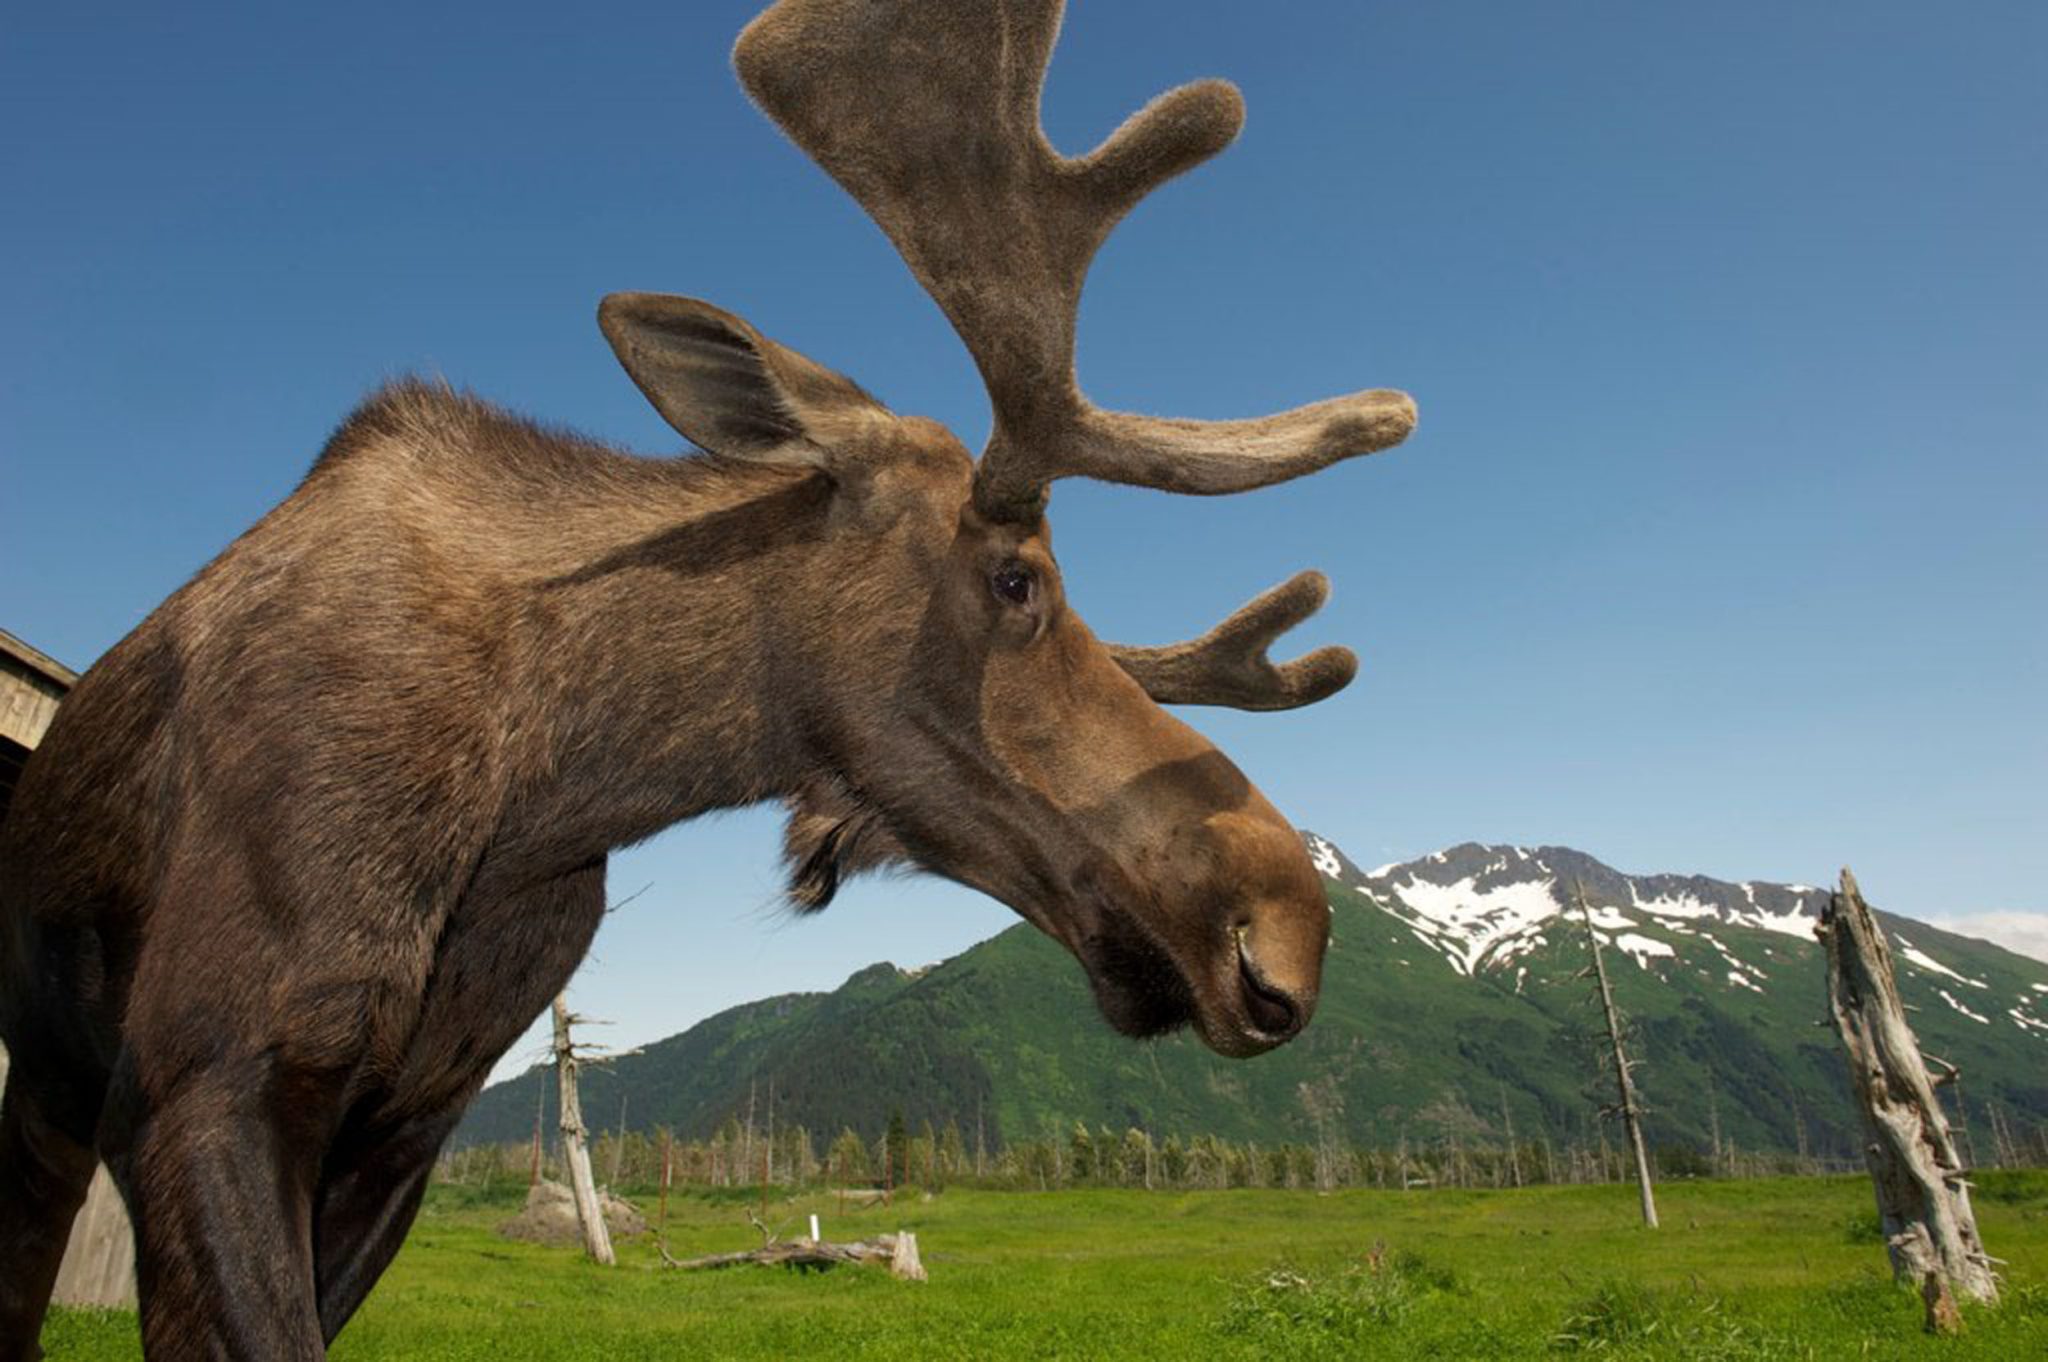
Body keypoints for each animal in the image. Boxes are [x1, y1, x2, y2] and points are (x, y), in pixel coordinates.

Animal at [0, 0, 1417, 1351]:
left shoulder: (411, 1126)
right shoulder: (205, 1076)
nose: (1286, 927)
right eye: (1019, 580)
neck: (536, 792)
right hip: (48, 1087)